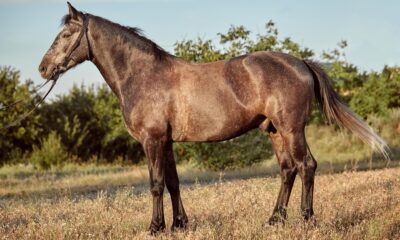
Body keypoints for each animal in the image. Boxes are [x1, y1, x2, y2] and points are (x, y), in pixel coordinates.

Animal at [38, 1, 388, 234]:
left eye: (66, 35)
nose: (43, 68)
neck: (143, 74)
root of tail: (300, 62)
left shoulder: (153, 140)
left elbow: (155, 184)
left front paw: (155, 227)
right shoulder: (166, 142)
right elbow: (173, 182)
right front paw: (179, 225)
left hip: (292, 129)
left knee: (307, 166)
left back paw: (306, 219)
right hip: (275, 131)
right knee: (288, 170)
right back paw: (275, 219)